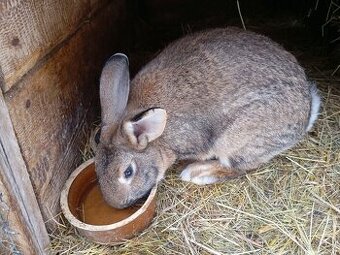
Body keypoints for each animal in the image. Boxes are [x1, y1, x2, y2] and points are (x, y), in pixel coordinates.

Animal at [94, 26, 320, 208]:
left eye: (128, 172)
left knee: (240, 167)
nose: (117, 205)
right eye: (97, 169)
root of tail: (305, 114)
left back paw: (196, 173)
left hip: (236, 139)